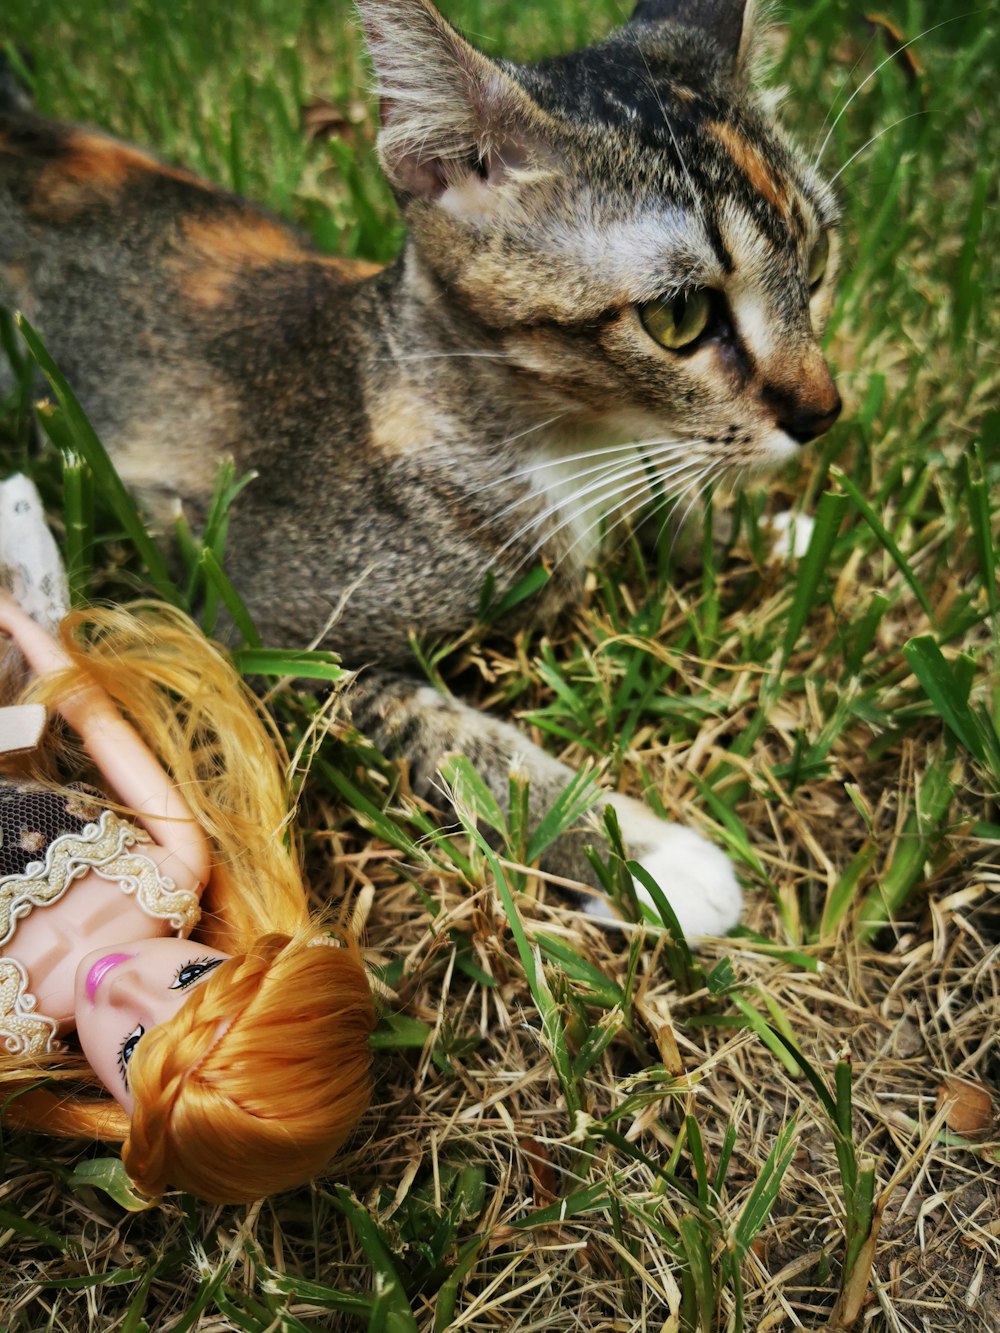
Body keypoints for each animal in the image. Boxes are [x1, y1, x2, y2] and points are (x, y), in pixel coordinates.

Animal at [0, 2, 848, 938]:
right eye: (681, 316)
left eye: (816, 263)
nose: (823, 412)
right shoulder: (250, 639)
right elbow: (454, 739)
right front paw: (637, 853)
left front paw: (768, 531)